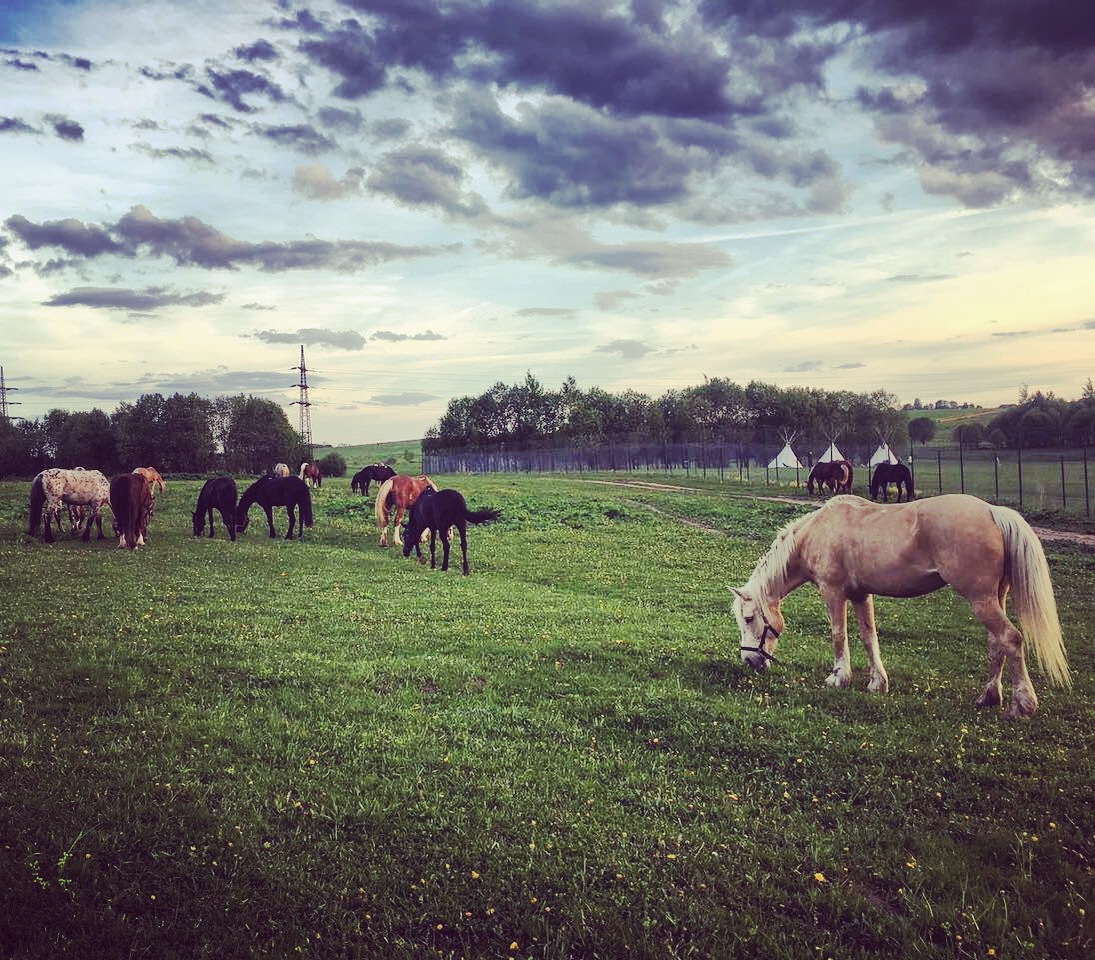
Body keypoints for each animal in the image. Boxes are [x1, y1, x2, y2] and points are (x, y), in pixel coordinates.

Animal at [727, 494, 1068, 718]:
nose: (749, 660)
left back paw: (1021, 705)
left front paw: (839, 678)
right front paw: (877, 683)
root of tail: (993, 512)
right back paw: (988, 696)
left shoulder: (834, 593)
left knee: (1011, 639)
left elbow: (839, 635)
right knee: (996, 643)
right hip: (994, 598)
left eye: (749, 618)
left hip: (980, 599)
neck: (817, 531)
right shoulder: (861, 595)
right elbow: (869, 638)